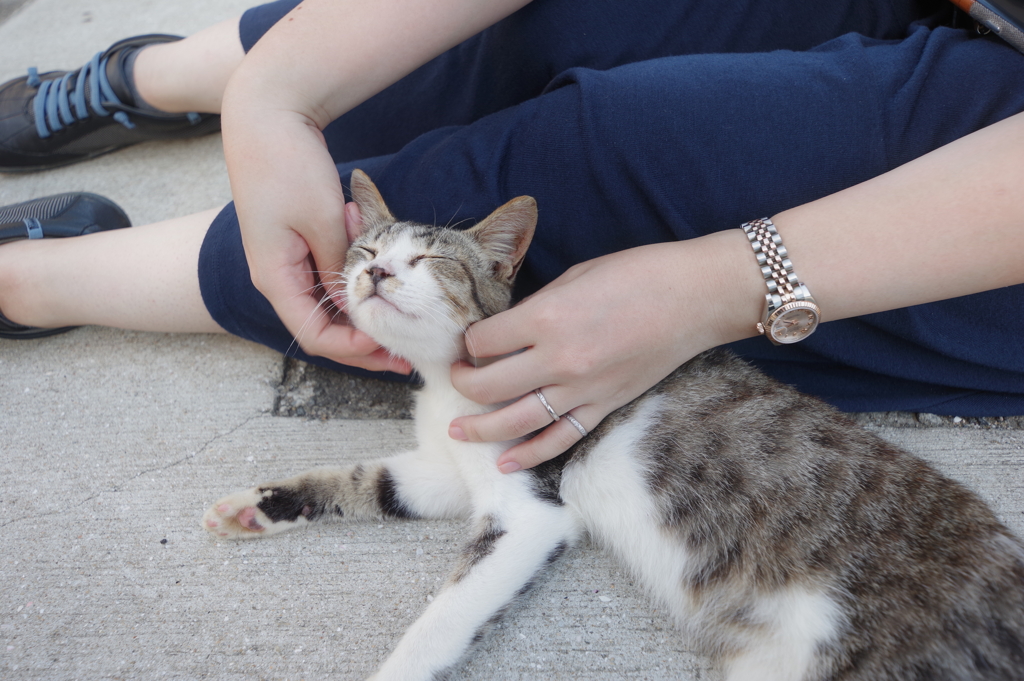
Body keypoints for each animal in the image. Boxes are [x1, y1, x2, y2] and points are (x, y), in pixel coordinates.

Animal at [201, 171, 1024, 679]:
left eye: (433, 261)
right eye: (367, 248)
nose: (372, 273)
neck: (446, 384)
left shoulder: (531, 506)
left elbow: (443, 614)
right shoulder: (449, 467)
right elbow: (370, 479)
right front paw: (262, 504)